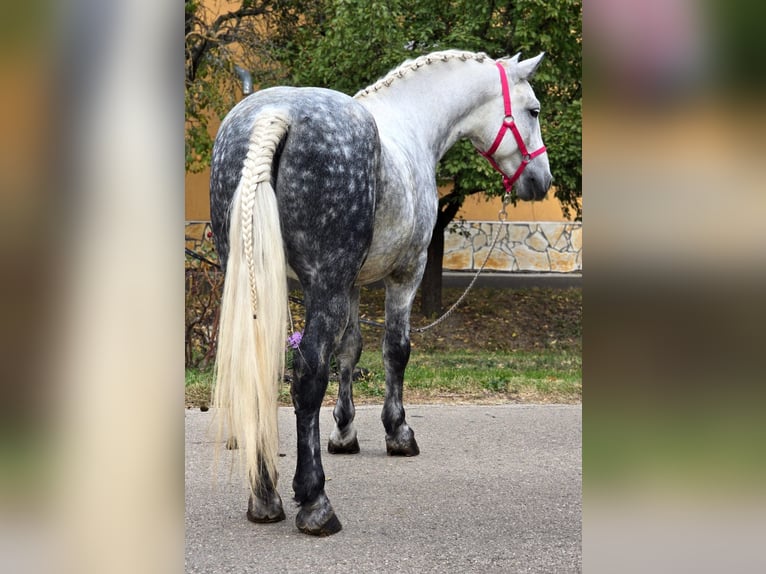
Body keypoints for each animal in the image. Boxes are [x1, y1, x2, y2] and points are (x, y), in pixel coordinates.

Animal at [209, 50, 552, 536]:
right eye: (534, 111)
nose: (541, 180)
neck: (412, 123)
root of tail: (274, 113)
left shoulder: (351, 285)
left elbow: (350, 351)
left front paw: (344, 432)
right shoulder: (405, 274)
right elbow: (395, 350)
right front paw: (398, 432)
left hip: (254, 283)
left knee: (259, 367)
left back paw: (264, 495)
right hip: (322, 287)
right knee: (307, 376)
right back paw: (314, 502)